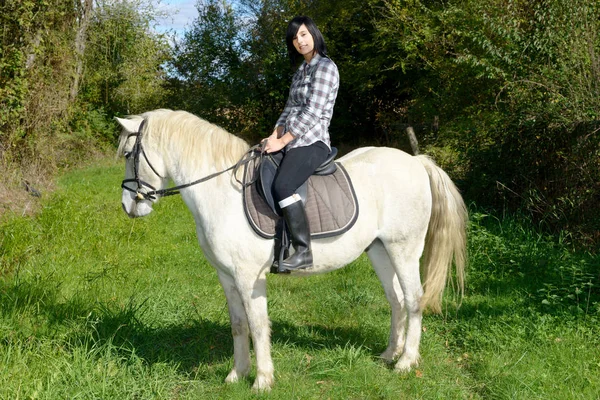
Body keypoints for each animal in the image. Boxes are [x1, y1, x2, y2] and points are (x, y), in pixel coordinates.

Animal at [115, 109, 466, 390]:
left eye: (129, 153)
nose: (128, 206)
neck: (221, 192)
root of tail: (416, 162)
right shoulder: (227, 276)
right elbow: (239, 324)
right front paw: (236, 375)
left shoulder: (248, 277)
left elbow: (258, 325)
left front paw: (262, 380)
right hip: (380, 251)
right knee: (396, 301)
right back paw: (390, 353)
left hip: (404, 249)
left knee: (414, 299)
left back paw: (406, 361)